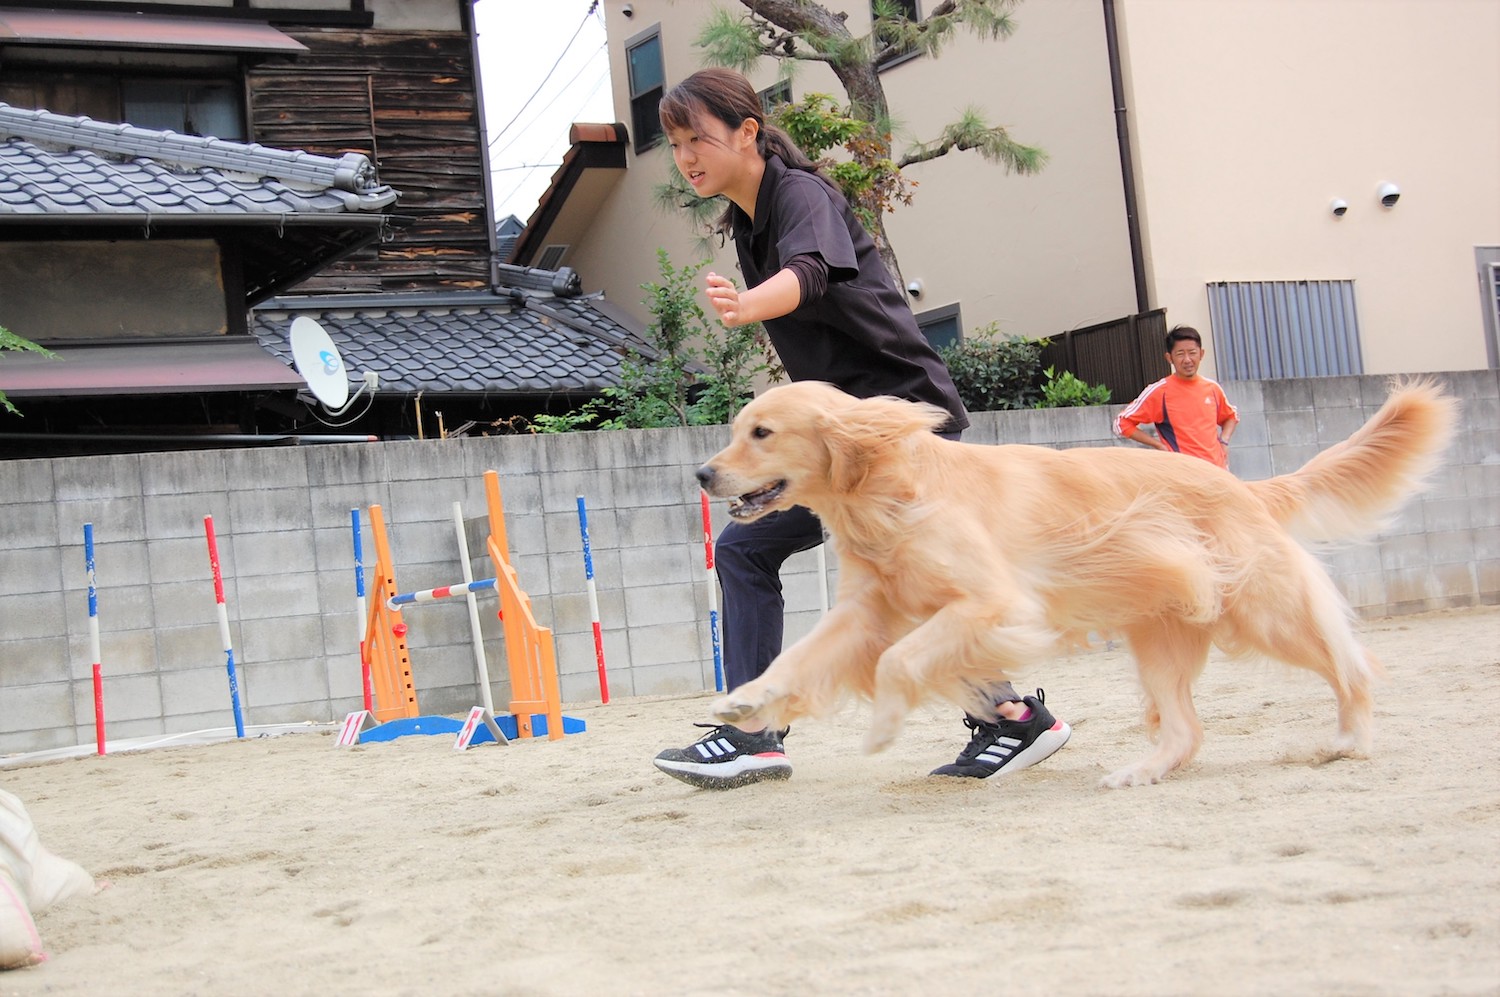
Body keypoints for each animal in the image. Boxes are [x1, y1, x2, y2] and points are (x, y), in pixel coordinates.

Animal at [696, 379, 1458, 785]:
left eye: (762, 433)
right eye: (737, 429)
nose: (702, 474)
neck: (891, 491)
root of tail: (1243, 487)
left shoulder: (994, 604)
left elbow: (898, 661)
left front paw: (883, 728)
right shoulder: (866, 610)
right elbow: (801, 657)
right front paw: (746, 701)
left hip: (1265, 609)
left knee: (1349, 663)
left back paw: (1350, 738)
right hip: (1158, 641)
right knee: (1187, 729)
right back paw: (1141, 771)